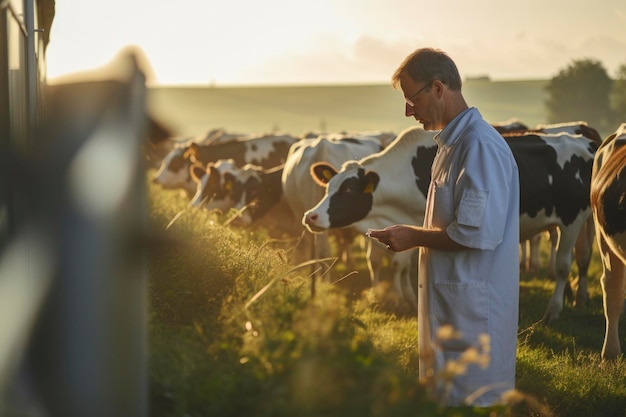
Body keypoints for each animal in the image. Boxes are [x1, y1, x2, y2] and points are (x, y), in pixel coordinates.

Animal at [304, 125, 596, 320]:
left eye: (349, 190)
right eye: (329, 186)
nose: (311, 216)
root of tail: (582, 140)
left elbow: (403, 264)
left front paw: (407, 301)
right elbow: (402, 264)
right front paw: (407, 299)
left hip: (573, 218)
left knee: (565, 264)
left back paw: (554, 309)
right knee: (582, 257)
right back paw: (579, 298)